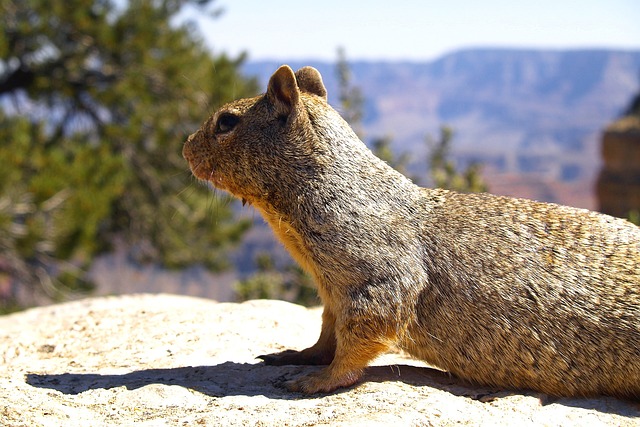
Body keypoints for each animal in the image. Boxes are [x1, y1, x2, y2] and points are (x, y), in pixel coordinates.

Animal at [182, 65, 640, 400]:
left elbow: (360, 336)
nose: (185, 148)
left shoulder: (371, 274)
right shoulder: (332, 293)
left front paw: (317, 381)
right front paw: (297, 356)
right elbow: (327, 333)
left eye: (226, 122)